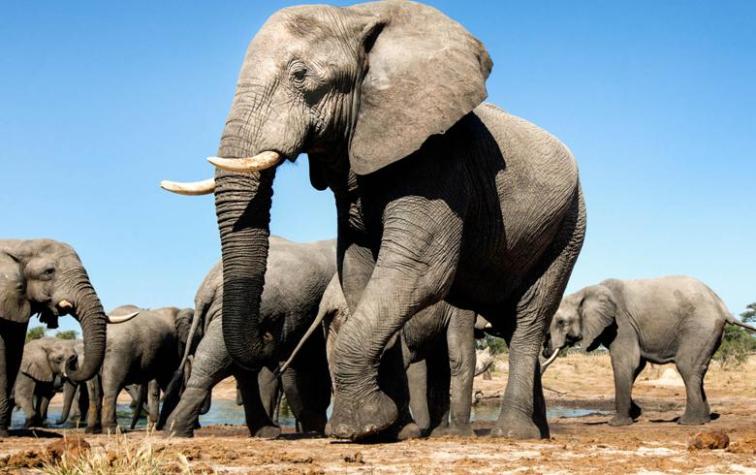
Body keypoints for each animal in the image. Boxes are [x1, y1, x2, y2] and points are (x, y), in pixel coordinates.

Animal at [84, 305, 194, 433]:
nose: (132, 428)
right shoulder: (175, 348)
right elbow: (168, 379)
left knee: (95, 391)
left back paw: (92, 430)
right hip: (120, 353)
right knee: (112, 386)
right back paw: (114, 430)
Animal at [542, 276, 756, 426]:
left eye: (561, 322)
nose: (546, 350)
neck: (584, 292)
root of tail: (722, 306)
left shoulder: (621, 323)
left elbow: (627, 362)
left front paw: (617, 423)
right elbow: (637, 366)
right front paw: (636, 413)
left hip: (699, 327)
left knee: (686, 366)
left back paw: (688, 422)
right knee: (697, 370)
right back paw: (704, 419)